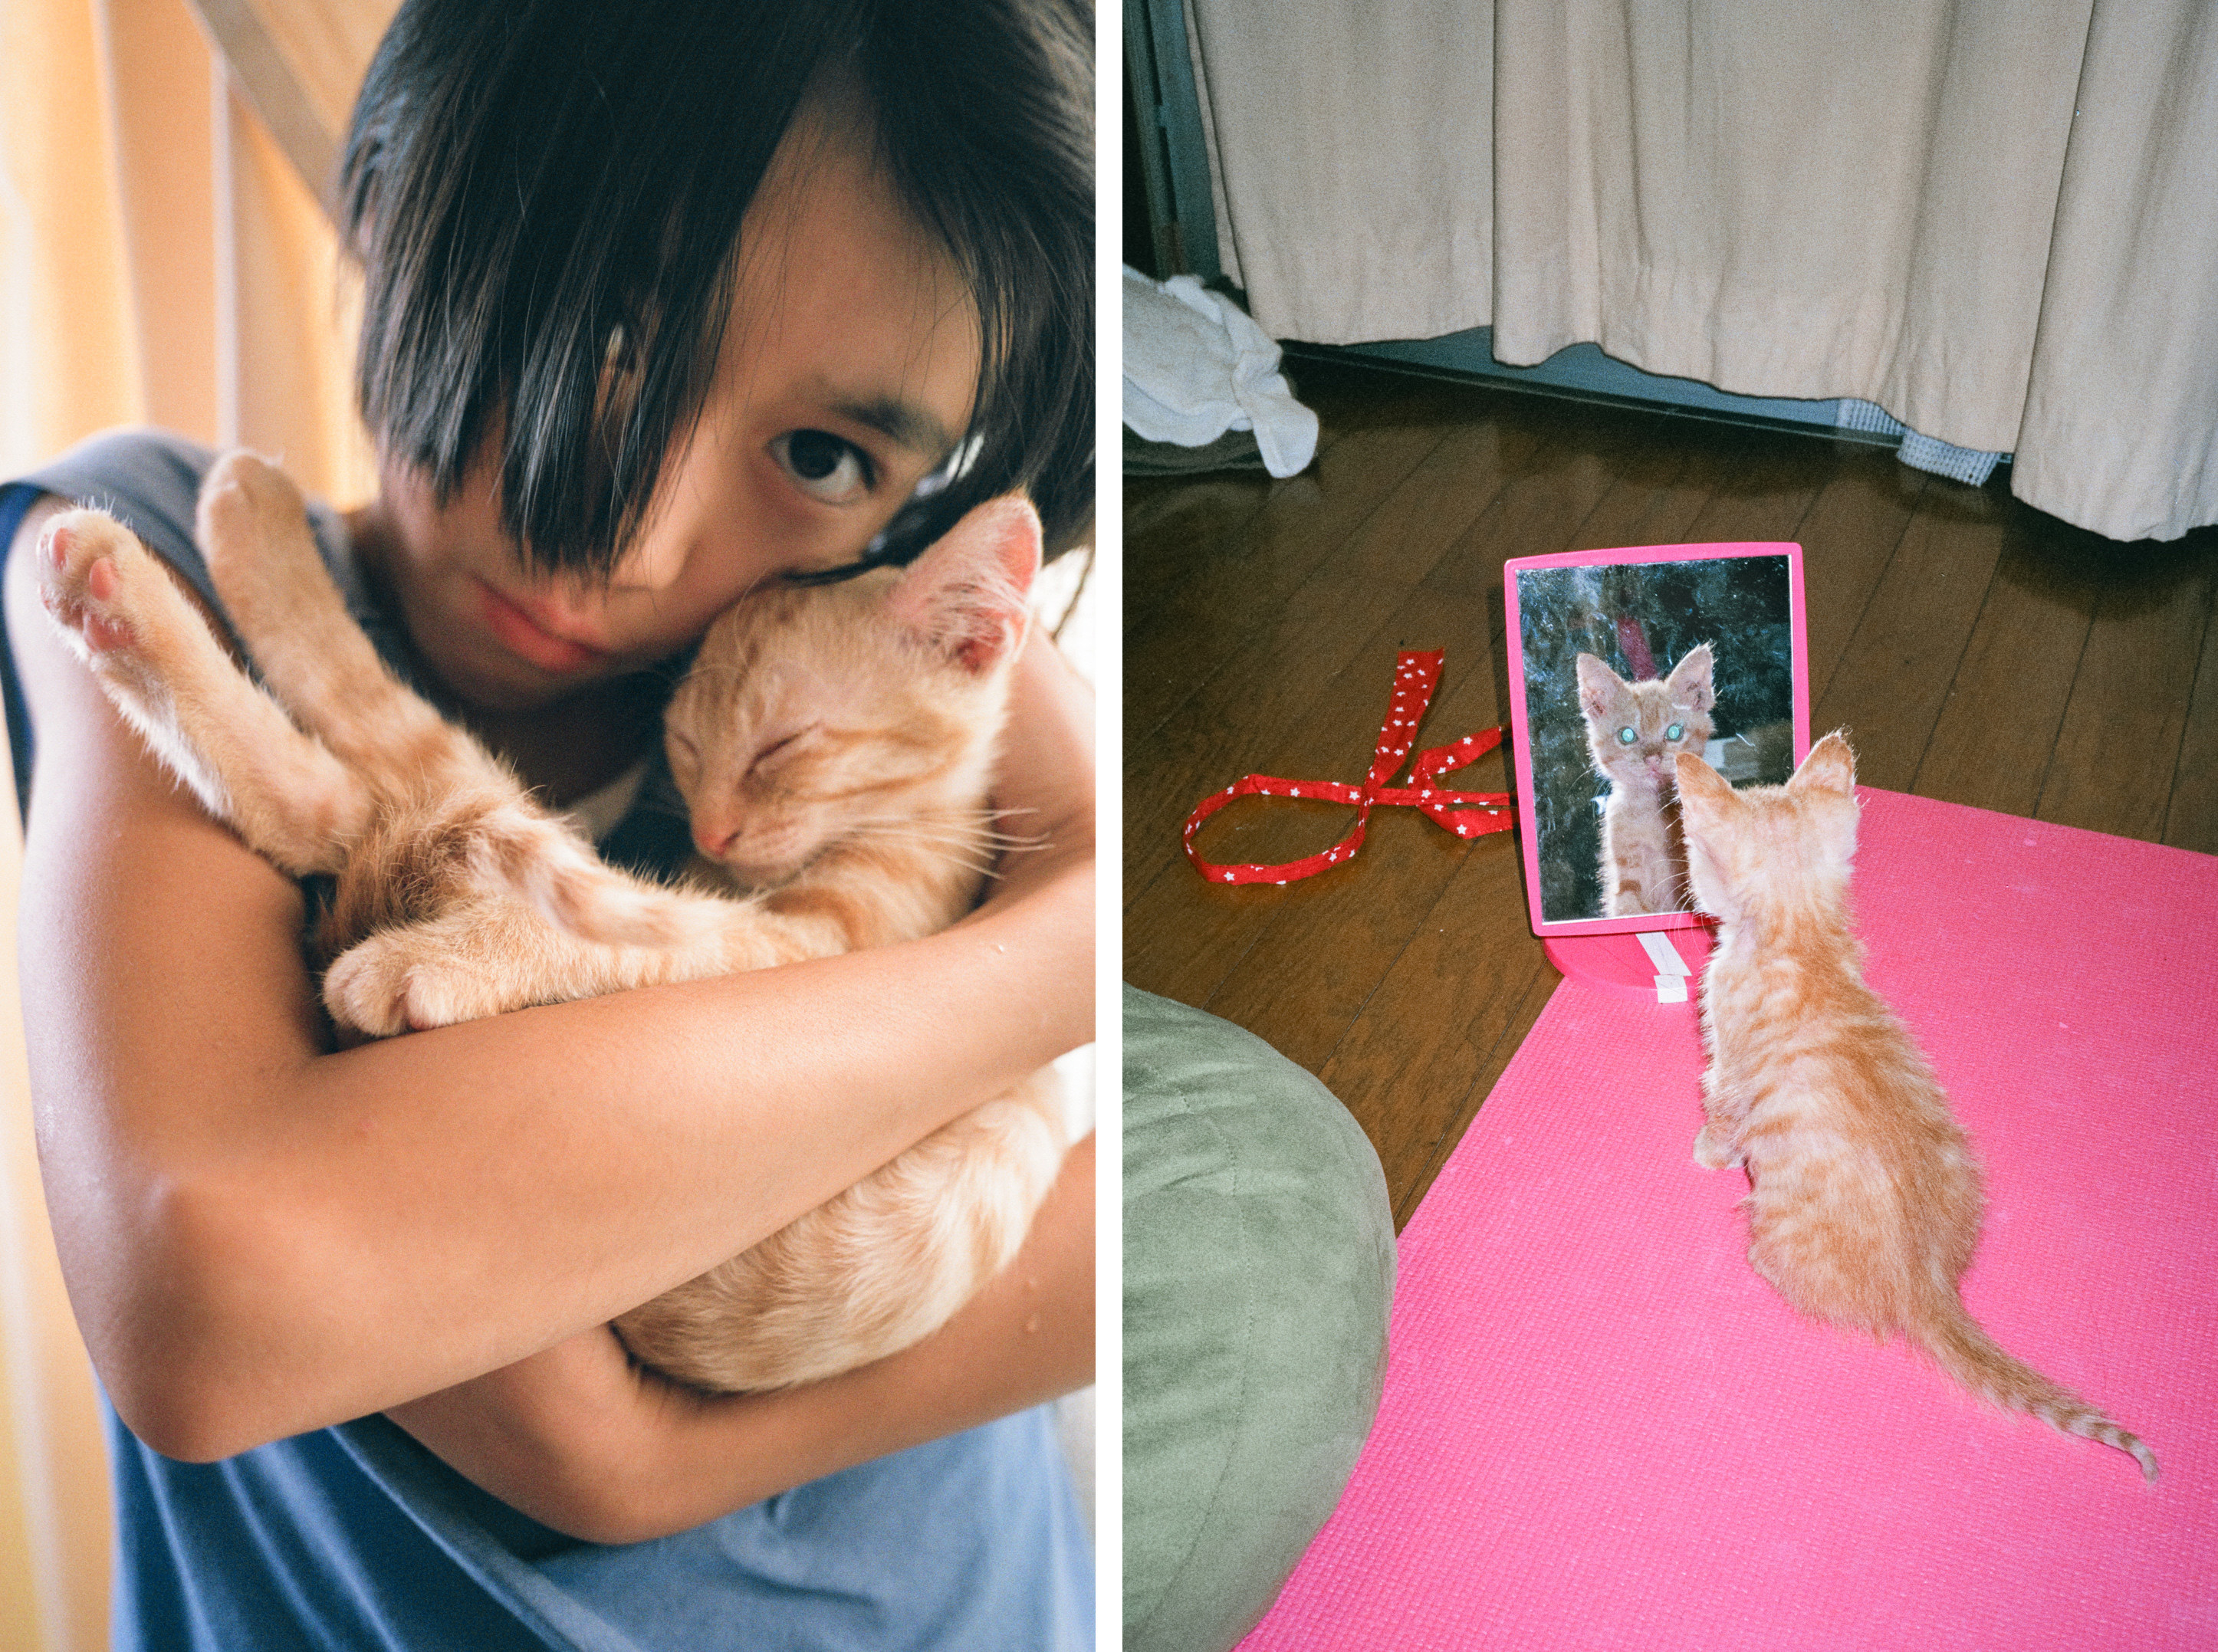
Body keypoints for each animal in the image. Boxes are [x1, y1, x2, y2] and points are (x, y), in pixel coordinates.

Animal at [37, 450, 1064, 1392]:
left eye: (783, 746)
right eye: (687, 748)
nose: (710, 830)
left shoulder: (819, 942)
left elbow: (616, 930)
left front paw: (451, 959)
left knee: (386, 780)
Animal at [1579, 642, 1712, 913]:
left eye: (1674, 732)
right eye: (1627, 735)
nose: (1652, 759)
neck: (1653, 810)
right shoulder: (1627, 872)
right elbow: (1628, 906)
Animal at [1677, 736, 2147, 1481]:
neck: (1801, 943)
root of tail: (1928, 1285)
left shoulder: (1727, 1067)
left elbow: (1720, 1112)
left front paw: (1705, 1154)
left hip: (1778, 1225)